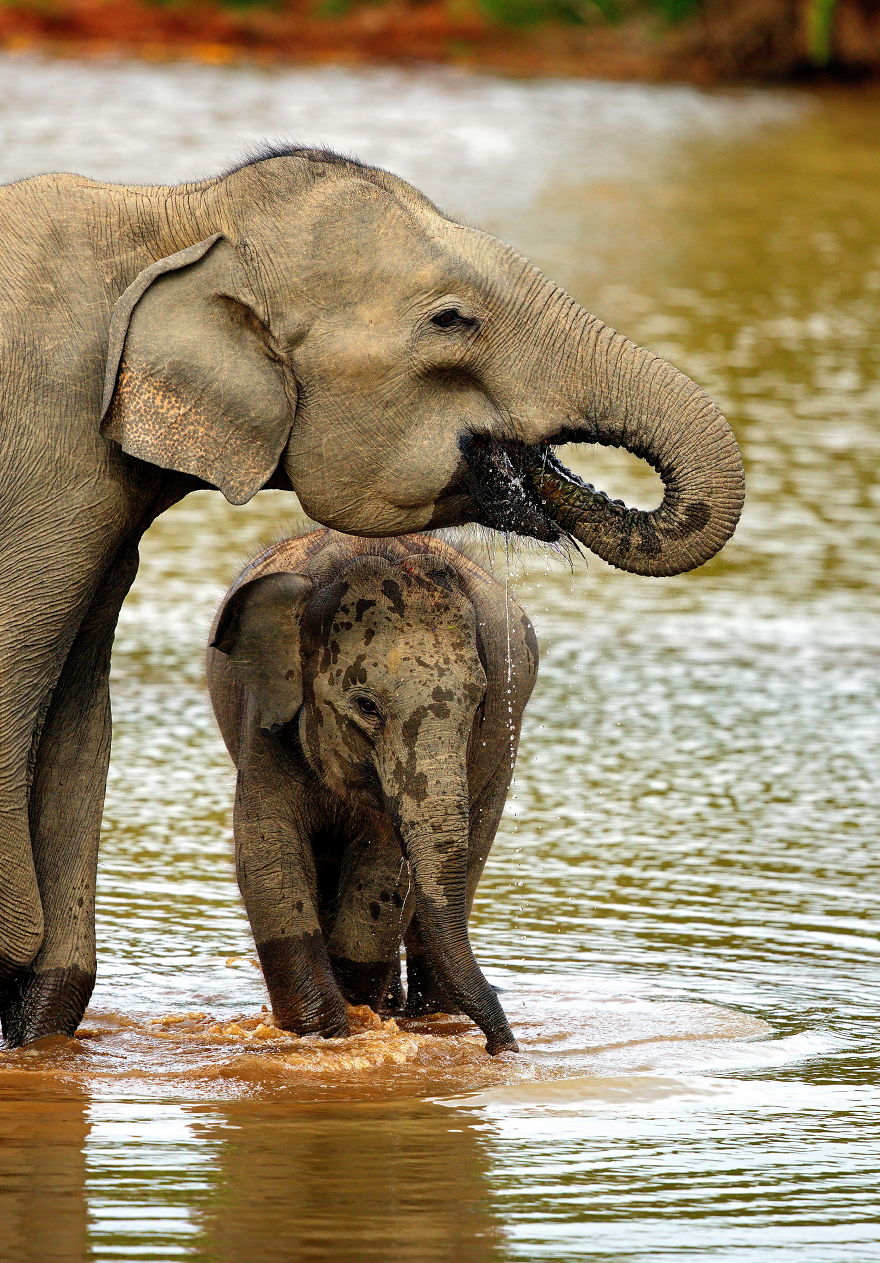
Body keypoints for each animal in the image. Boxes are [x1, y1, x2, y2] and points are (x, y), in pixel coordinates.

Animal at [207, 528, 537, 1055]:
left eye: (479, 703)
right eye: (366, 706)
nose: (500, 1048)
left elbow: (382, 875)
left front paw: (355, 1020)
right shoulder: (265, 716)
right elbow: (268, 851)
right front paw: (324, 1036)